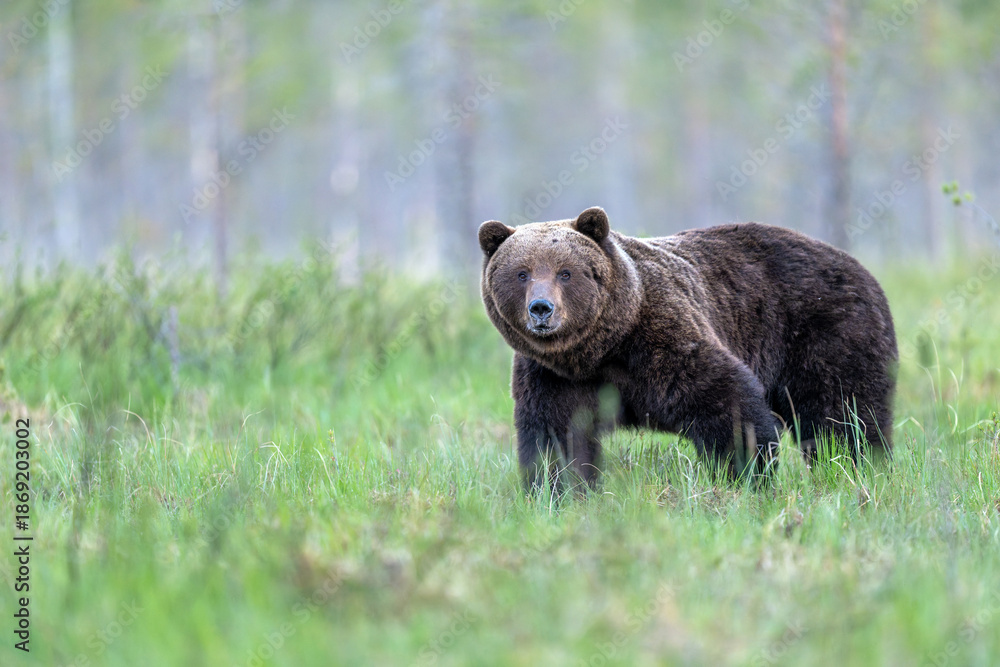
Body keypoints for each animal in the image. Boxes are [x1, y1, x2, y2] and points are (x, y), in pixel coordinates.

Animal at [478, 206, 897, 491]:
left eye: (565, 272)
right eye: (522, 273)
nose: (541, 309)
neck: (601, 349)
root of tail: (859, 267)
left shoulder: (663, 340)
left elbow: (725, 404)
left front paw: (746, 475)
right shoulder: (553, 377)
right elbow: (557, 437)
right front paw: (560, 491)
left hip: (825, 331)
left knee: (841, 414)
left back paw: (857, 467)